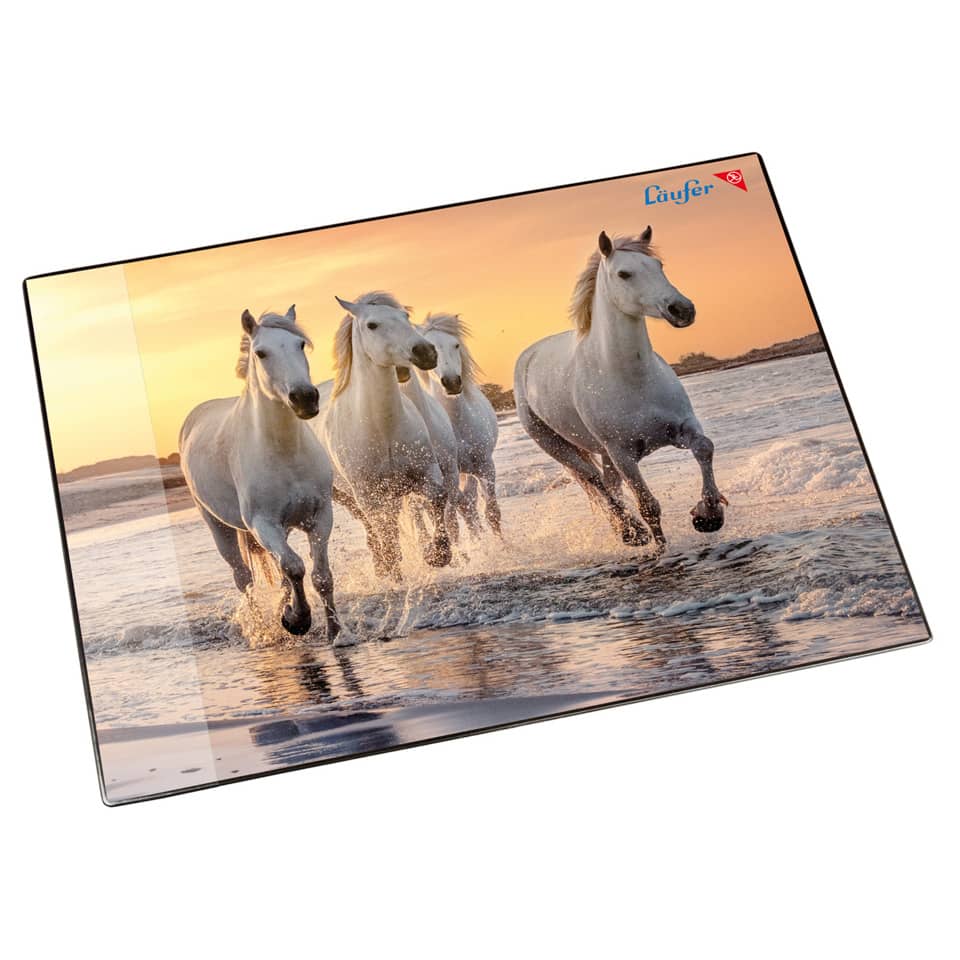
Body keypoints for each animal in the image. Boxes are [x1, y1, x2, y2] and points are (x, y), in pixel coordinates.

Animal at [179, 305, 343, 642]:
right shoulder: (263, 524)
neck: (285, 452)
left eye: (300, 345)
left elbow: (320, 576)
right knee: (244, 578)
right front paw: (298, 620)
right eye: (261, 352)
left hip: (284, 528)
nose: (305, 398)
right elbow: (294, 567)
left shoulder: (320, 515)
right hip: (220, 527)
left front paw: (334, 631)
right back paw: (258, 627)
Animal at [319, 291, 453, 580]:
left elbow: (438, 497)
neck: (384, 430)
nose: (425, 352)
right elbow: (384, 530)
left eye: (405, 316)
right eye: (372, 325)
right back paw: (382, 566)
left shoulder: (425, 472)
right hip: (347, 497)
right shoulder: (368, 495)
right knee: (373, 528)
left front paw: (437, 554)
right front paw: (392, 570)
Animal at [419, 313, 501, 536]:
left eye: (456, 345)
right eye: (431, 348)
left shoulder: (485, 466)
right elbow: (451, 521)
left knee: (469, 505)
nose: (452, 382)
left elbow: (492, 513)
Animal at [513, 228, 727, 551]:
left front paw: (709, 515)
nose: (682, 310)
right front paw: (660, 548)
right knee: (596, 482)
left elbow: (705, 447)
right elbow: (648, 505)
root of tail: (528, 356)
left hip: (602, 452)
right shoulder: (622, 453)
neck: (632, 378)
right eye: (624, 274)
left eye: (658, 266)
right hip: (557, 446)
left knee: (609, 484)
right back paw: (630, 532)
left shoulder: (682, 427)